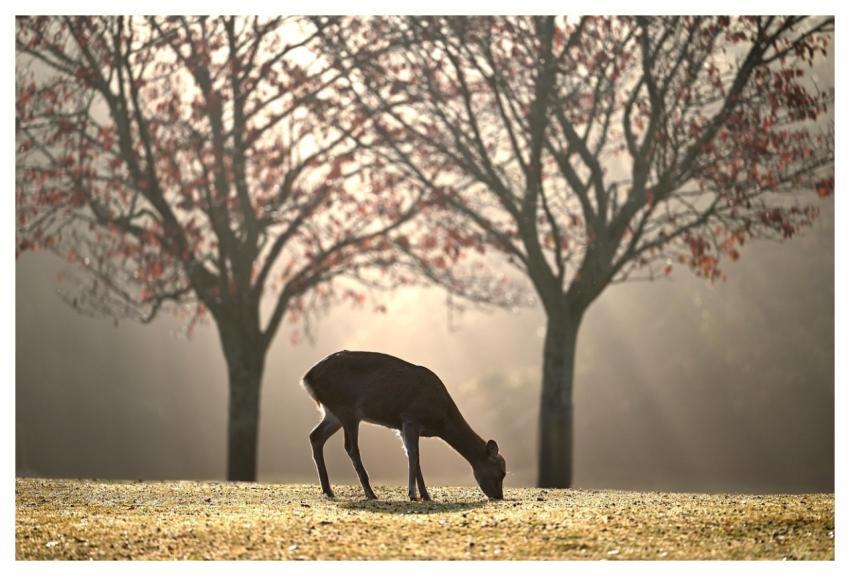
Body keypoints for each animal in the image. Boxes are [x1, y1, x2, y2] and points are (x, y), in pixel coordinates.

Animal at [301, 350, 506, 501]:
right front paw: (417, 495)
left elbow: (410, 455)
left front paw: (419, 494)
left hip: (332, 413)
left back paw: (328, 490)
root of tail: (307, 378)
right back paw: (370, 493)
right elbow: (415, 456)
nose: (499, 496)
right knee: (350, 447)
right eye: (501, 472)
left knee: (315, 436)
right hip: (347, 409)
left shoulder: (401, 426)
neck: (441, 419)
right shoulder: (411, 417)